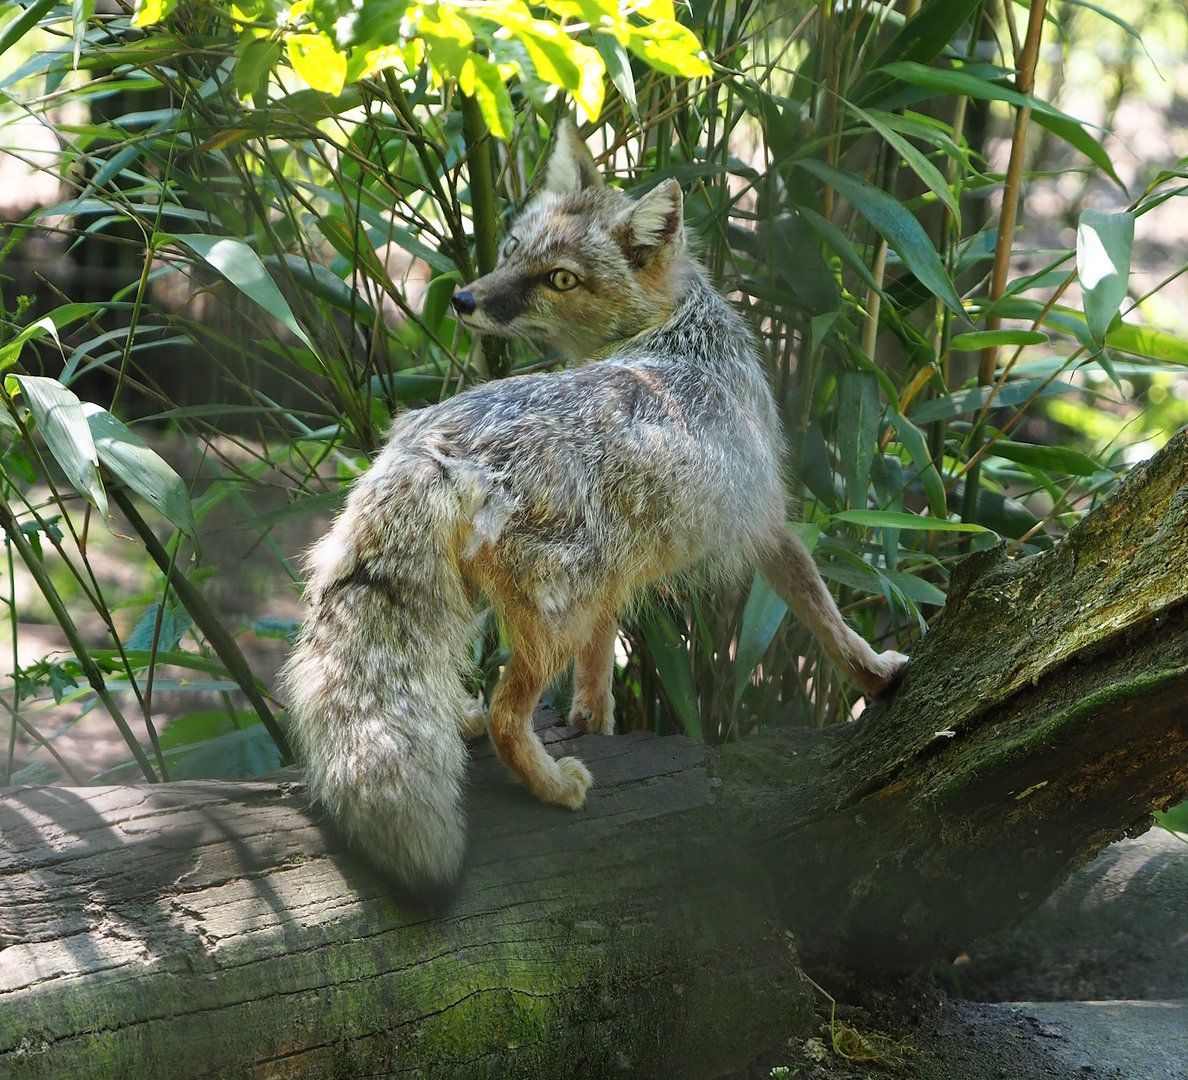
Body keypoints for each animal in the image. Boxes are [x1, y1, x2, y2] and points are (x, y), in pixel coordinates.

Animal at [281, 120, 908, 908]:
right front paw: (875, 675)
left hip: (511, 600)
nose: (463, 298)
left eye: (559, 278)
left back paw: (463, 719)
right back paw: (551, 784)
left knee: (466, 692)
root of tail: (434, 441)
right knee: (506, 713)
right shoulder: (765, 522)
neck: (681, 333)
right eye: (514, 250)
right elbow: (826, 613)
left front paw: (596, 721)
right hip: (551, 615)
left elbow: (601, 662)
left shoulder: (619, 570)